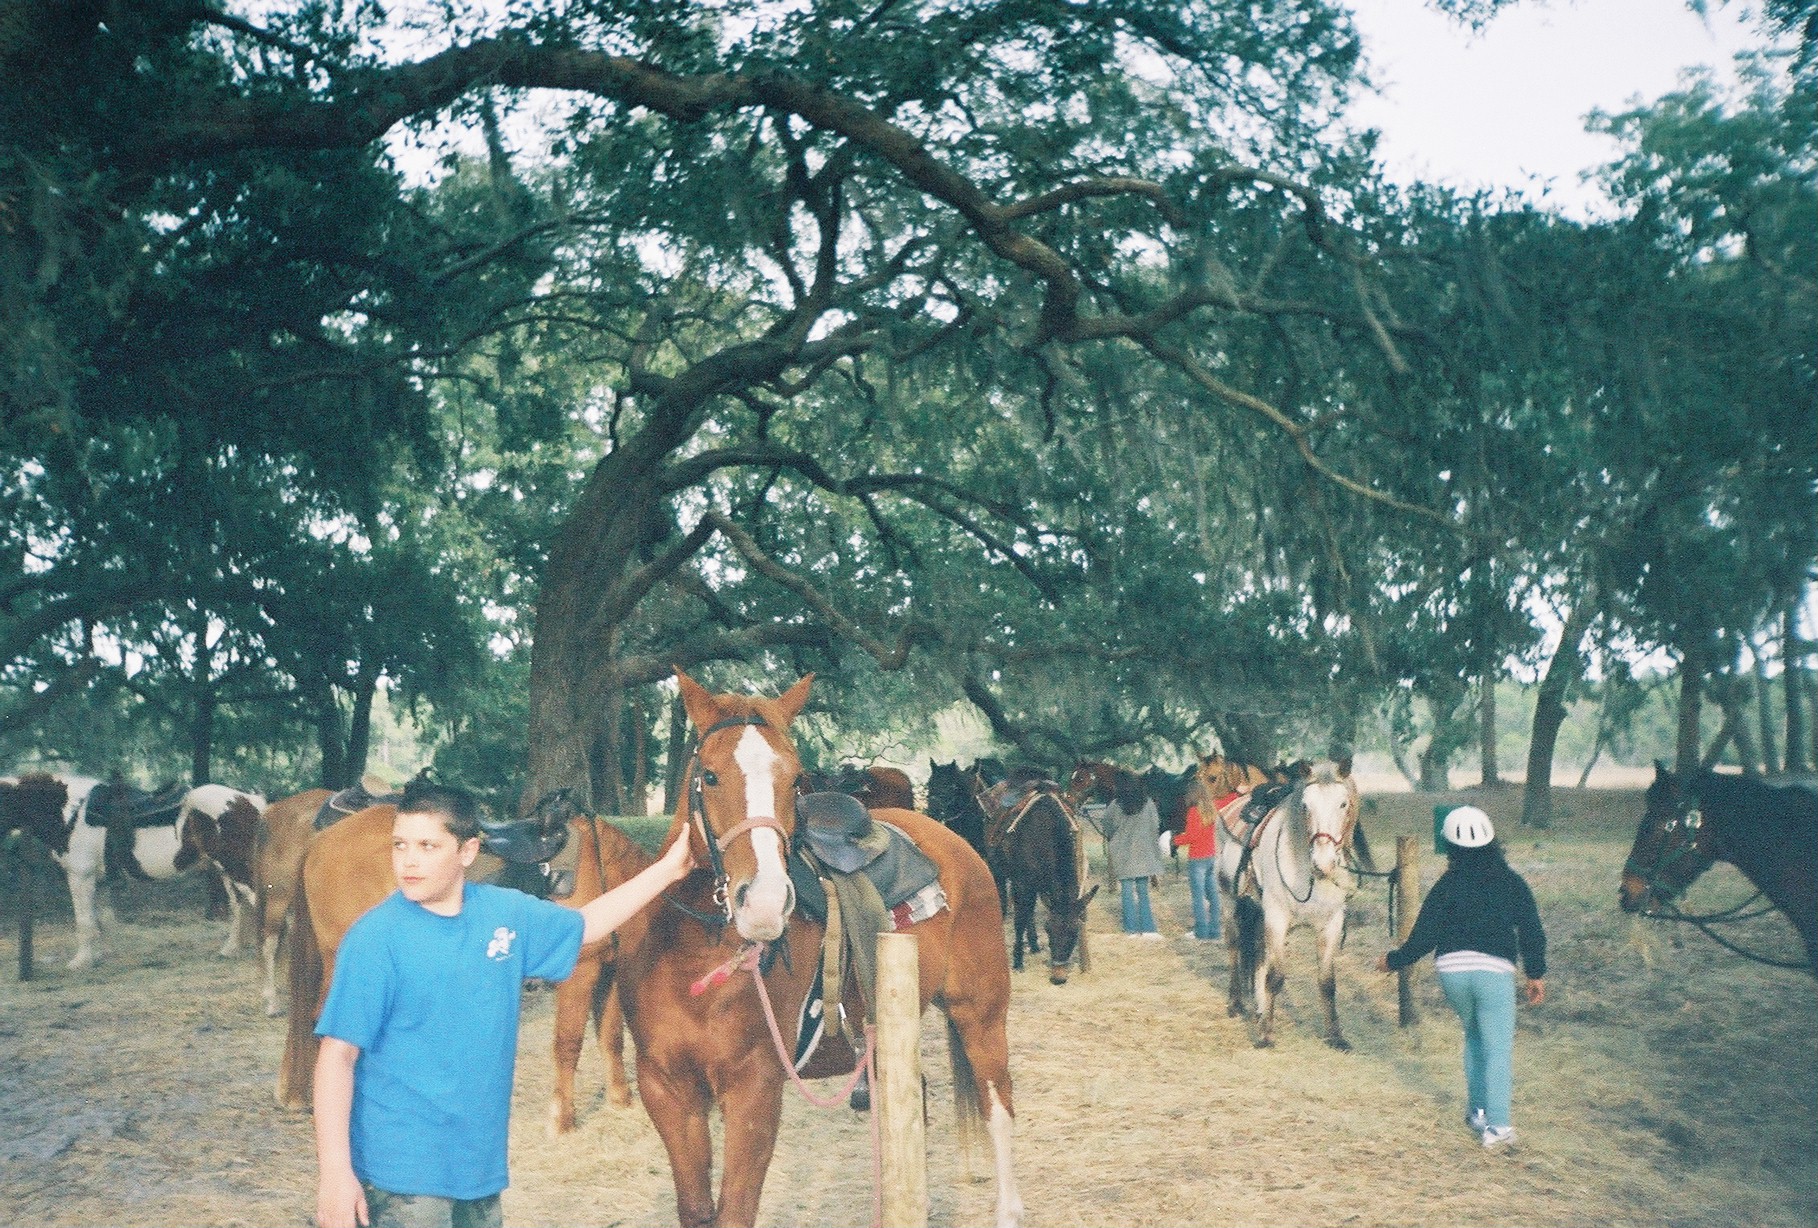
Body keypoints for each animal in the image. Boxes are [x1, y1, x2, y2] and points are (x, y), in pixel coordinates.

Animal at [621, 673, 1025, 1228]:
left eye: (795, 781)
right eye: (709, 775)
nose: (765, 902)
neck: (695, 962)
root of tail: (956, 843)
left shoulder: (755, 1088)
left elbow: (734, 1211)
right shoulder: (665, 1087)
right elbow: (697, 1210)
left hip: (980, 1013)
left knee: (997, 1106)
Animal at [1214, 764, 1367, 1055]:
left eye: (1343, 804)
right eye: (1305, 805)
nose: (1323, 862)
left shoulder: (1331, 924)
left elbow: (1327, 983)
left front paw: (1336, 1036)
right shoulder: (1277, 918)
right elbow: (1275, 977)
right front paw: (1265, 1035)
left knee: (1258, 955)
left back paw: (1259, 1008)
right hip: (1229, 901)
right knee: (1235, 947)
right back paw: (1236, 1003)